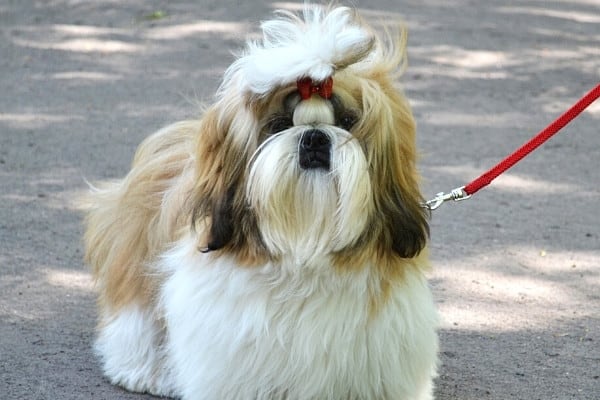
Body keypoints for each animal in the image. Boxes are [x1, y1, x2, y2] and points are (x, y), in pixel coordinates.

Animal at [82, 3, 438, 400]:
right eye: (280, 124)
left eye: (347, 121)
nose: (314, 138)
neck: (304, 252)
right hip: (137, 262)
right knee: (137, 317)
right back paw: (142, 369)